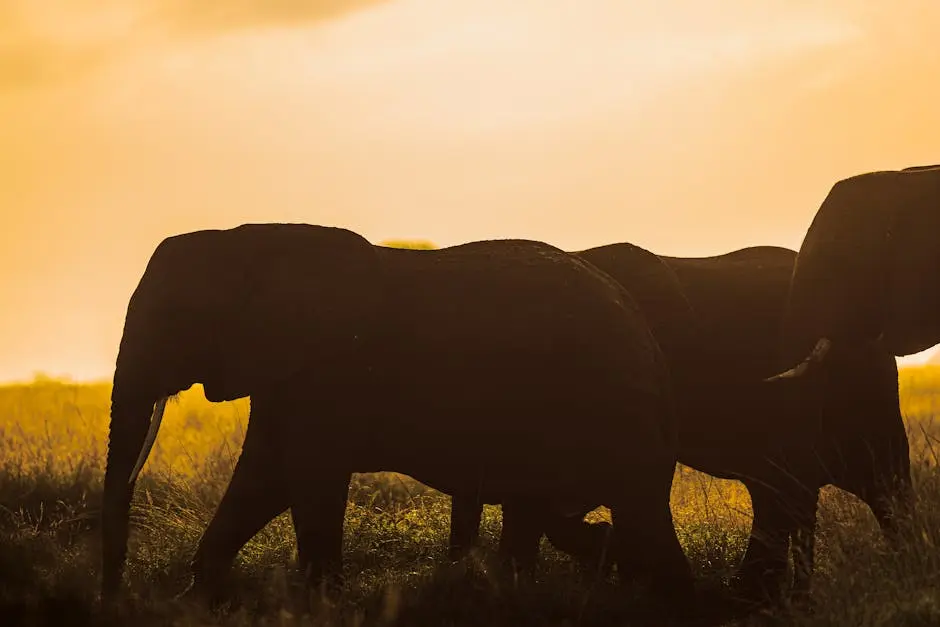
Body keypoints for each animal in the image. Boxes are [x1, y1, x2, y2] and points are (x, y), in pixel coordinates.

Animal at [99, 224, 692, 612]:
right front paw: (194, 600)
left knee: (636, 504)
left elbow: (306, 477)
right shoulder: (287, 370)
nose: (114, 598)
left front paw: (323, 606)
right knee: (547, 508)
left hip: (611, 405)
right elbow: (262, 478)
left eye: (175, 316)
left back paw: (667, 598)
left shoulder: (328, 368)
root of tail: (645, 333)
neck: (248, 238)